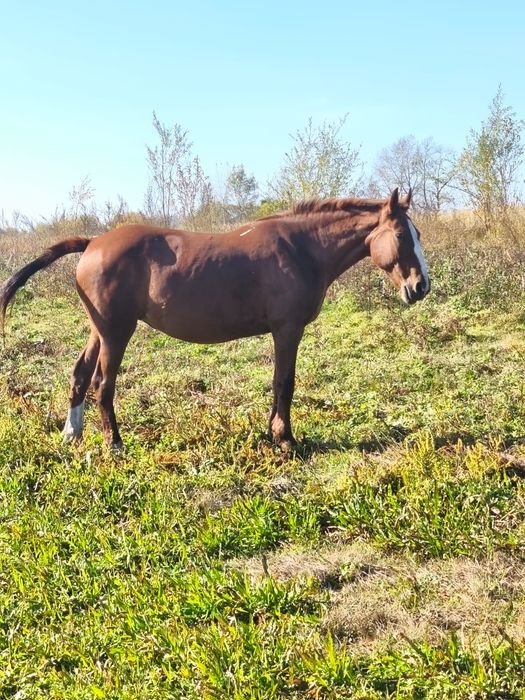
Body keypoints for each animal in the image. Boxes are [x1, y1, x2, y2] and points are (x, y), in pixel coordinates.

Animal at [0, 188, 429, 451]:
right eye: (401, 236)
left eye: (418, 235)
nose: (421, 286)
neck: (301, 248)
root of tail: (91, 243)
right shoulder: (287, 329)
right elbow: (285, 383)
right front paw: (285, 439)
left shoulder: (281, 332)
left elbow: (276, 383)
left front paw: (272, 433)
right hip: (116, 332)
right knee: (103, 385)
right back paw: (115, 443)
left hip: (99, 329)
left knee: (79, 375)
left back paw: (72, 434)